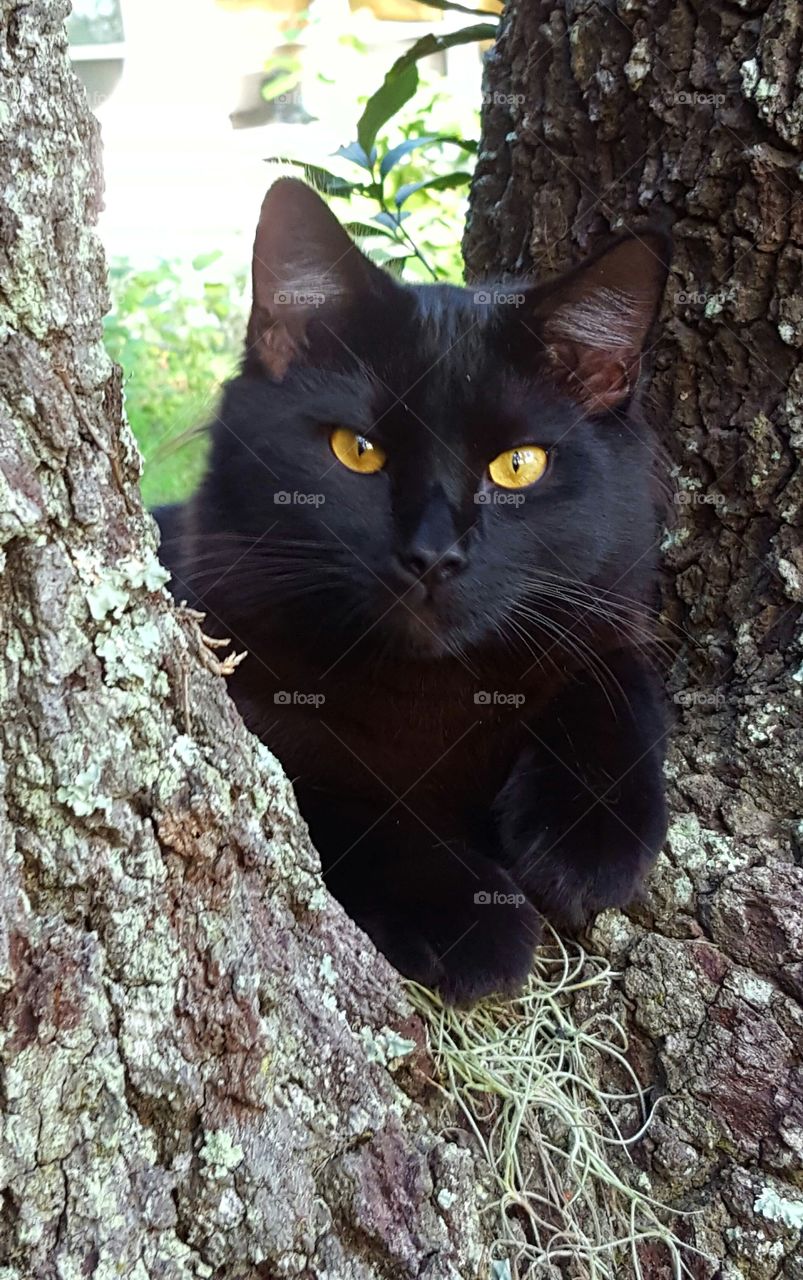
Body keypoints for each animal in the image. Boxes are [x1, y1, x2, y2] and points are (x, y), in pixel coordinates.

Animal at [156, 180, 671, 1003]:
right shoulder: (252, 707)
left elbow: (617, 684)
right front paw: (468, 914)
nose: (432, 555)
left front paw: (586, 846)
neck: (430, 693)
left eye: (519, 466)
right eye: (358, 451)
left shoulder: (603, 619)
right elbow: (341, 802)